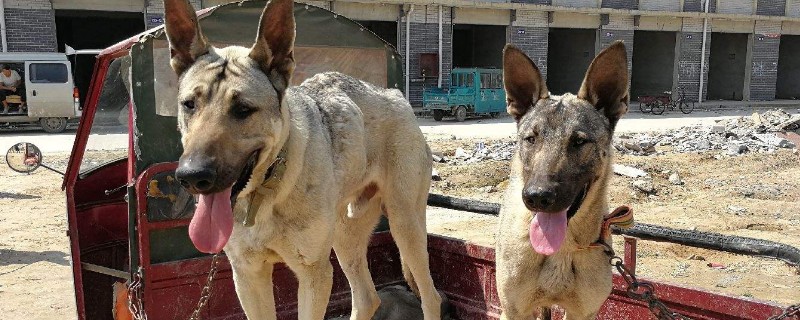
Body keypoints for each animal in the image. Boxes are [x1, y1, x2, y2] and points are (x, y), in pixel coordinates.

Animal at [164, 0, 444, 318]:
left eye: (243, 109)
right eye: (189, 104)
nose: (191, 177)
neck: (267, 190)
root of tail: (396, 94)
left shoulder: (313, 274)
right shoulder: (248, 276)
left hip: (404, 223)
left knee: (430, 296)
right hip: (344, 233)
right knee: (367, 298)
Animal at [494, 41, 632, 318]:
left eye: (579, 141)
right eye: (531, 139)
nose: (537, 196)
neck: (561, 248)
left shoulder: (583, 313)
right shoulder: (514, 311)